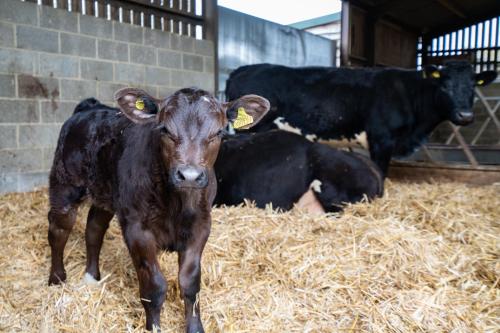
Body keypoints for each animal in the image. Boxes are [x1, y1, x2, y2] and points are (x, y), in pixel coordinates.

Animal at [47, 87, 270, 330]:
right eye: (164, 129)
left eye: (219, 132)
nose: (189, 175)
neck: (178, 204)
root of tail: (90, 107)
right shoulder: (137, 228)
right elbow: (154, 287)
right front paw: (153, 327)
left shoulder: (201, 226)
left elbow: (190, 282)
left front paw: (195, 328)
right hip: (65, 186)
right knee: (58, 231)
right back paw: (57, 279)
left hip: (105, 193)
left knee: (94, 229)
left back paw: (91, 277)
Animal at [226, 63, 496, 176]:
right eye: (445, 85)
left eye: (473, 86)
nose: (465, 116)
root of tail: (243, 68)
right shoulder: (382, 140)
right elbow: (381, 173)